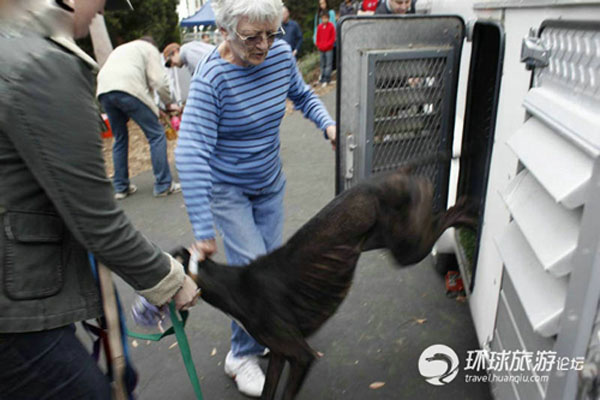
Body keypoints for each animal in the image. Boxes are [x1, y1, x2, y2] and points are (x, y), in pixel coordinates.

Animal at [172, 168, 475, 400]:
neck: (234, 286)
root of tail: (377, 180)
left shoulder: (301, 356)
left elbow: (286, 394)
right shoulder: (281, 355)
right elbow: (269, 391)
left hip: (409, 249)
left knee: (444, 214)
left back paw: (463, 211)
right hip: (391, 240)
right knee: (437, 218)